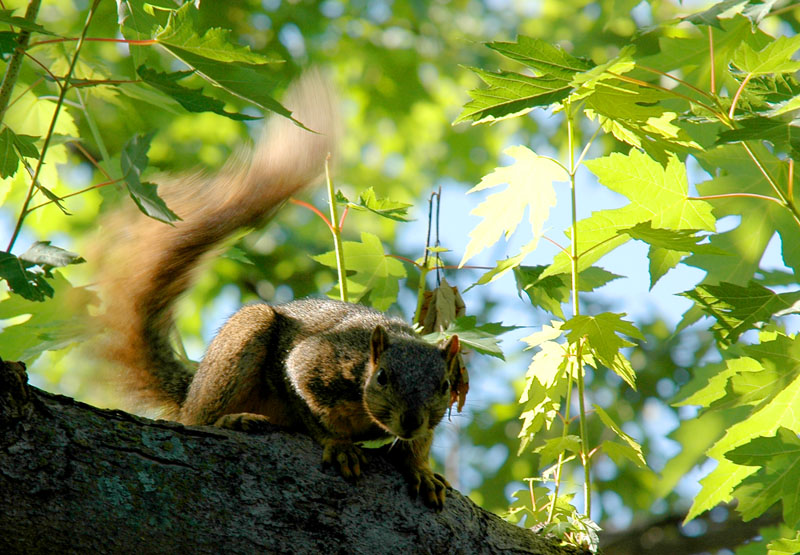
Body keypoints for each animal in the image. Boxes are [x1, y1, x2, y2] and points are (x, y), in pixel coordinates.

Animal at [96, 71, 460, 510]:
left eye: (445, 386)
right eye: (383, 377)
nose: (410, 420)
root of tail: (190, 392)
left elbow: (417, 446)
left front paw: (421, 470)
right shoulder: (308, 365)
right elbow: (307, 410)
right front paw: (338, 444)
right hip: (239, 347)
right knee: (198, 420)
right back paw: (231, 419)